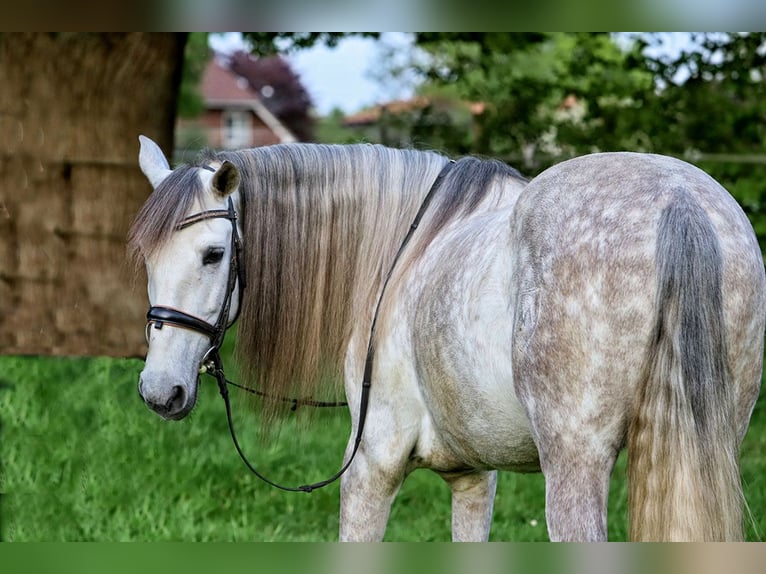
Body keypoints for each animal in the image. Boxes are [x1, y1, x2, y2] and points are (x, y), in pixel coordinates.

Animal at [129, 135, 765, 541]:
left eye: (214, 255)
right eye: (146, 259)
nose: (160, 391)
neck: (401, 249)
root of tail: (678, 201)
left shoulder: (371, 465)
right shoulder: (474, 478)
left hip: (576, 466)